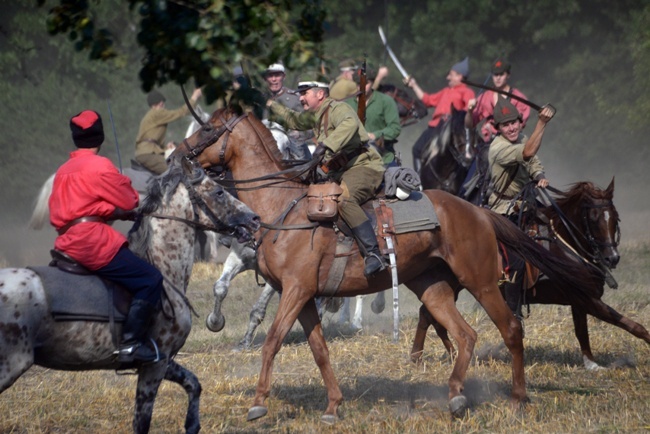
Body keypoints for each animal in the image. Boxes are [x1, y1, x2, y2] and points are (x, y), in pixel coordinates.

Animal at [175, 109, 600, 424]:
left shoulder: (295, 291)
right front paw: (333, 406)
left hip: (480, 283)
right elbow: (319, 350)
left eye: (209, 127)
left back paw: (516, 398)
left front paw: (258, 403)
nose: (178, 154)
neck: (284, 207)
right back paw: (456, 397)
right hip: (432, 287)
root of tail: (479, 212)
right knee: (464, 335)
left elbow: (272, 342)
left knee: (510, 328)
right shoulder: (305, 296)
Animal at [410, 180, 648, 370]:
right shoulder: (585, 299)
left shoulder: (579, 300)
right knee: (429, 314)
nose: (612, 258)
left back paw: (433, 355)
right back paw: (423, 357)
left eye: (615, 218)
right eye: (593, 218)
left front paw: (591, 364)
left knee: (428, 314)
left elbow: (583, 331)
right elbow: (631, 325)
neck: (565, 244)